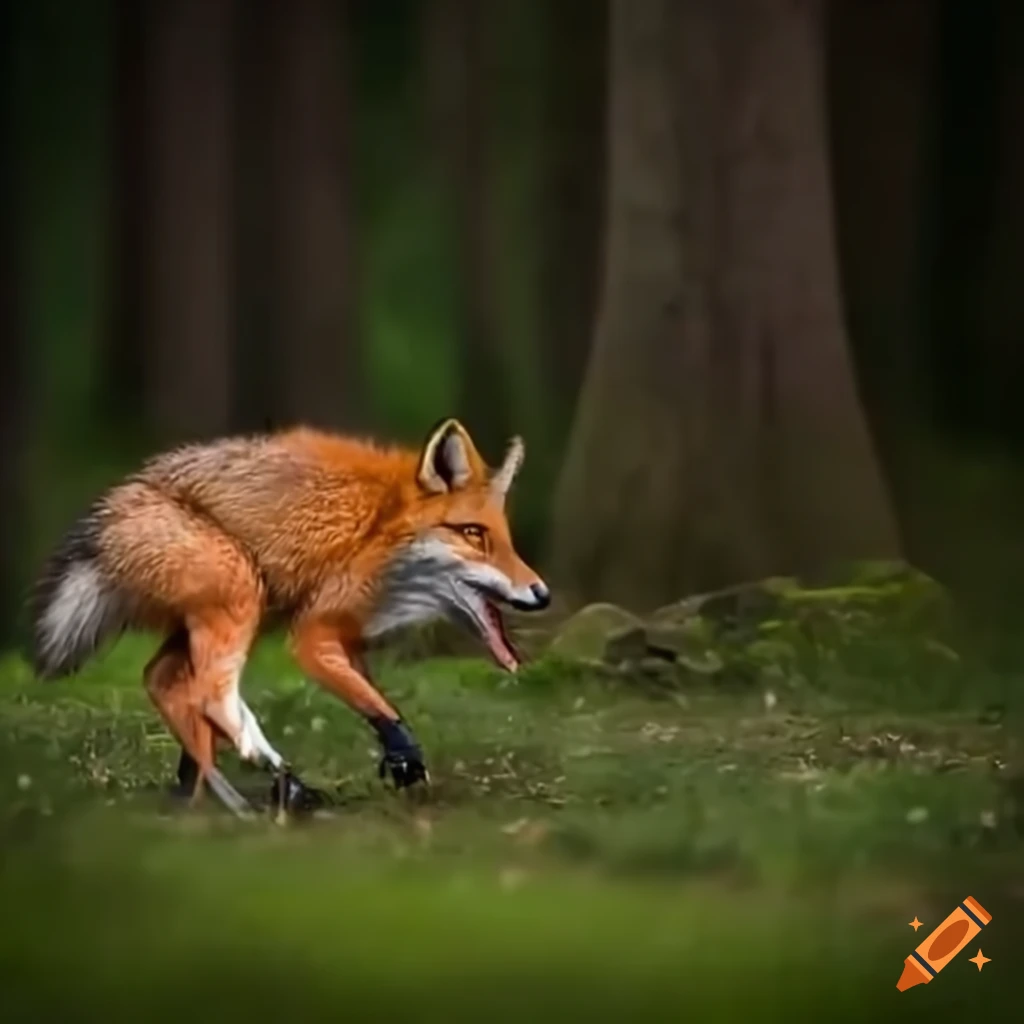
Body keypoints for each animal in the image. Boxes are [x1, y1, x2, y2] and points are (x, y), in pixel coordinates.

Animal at [27, 418, 550, 817]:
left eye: (508, 541)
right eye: (473, 534)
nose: (541, 593)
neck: (381, 535)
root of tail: (115, 504)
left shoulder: (350, 639)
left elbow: (373, 698)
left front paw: (398, 754)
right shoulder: (312, 634)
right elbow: (381, 707)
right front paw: (403, 752)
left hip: (218, 617)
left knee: (166, 683)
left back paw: (205, 796)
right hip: (241, 592)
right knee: (210, 696)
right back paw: (263, 773)